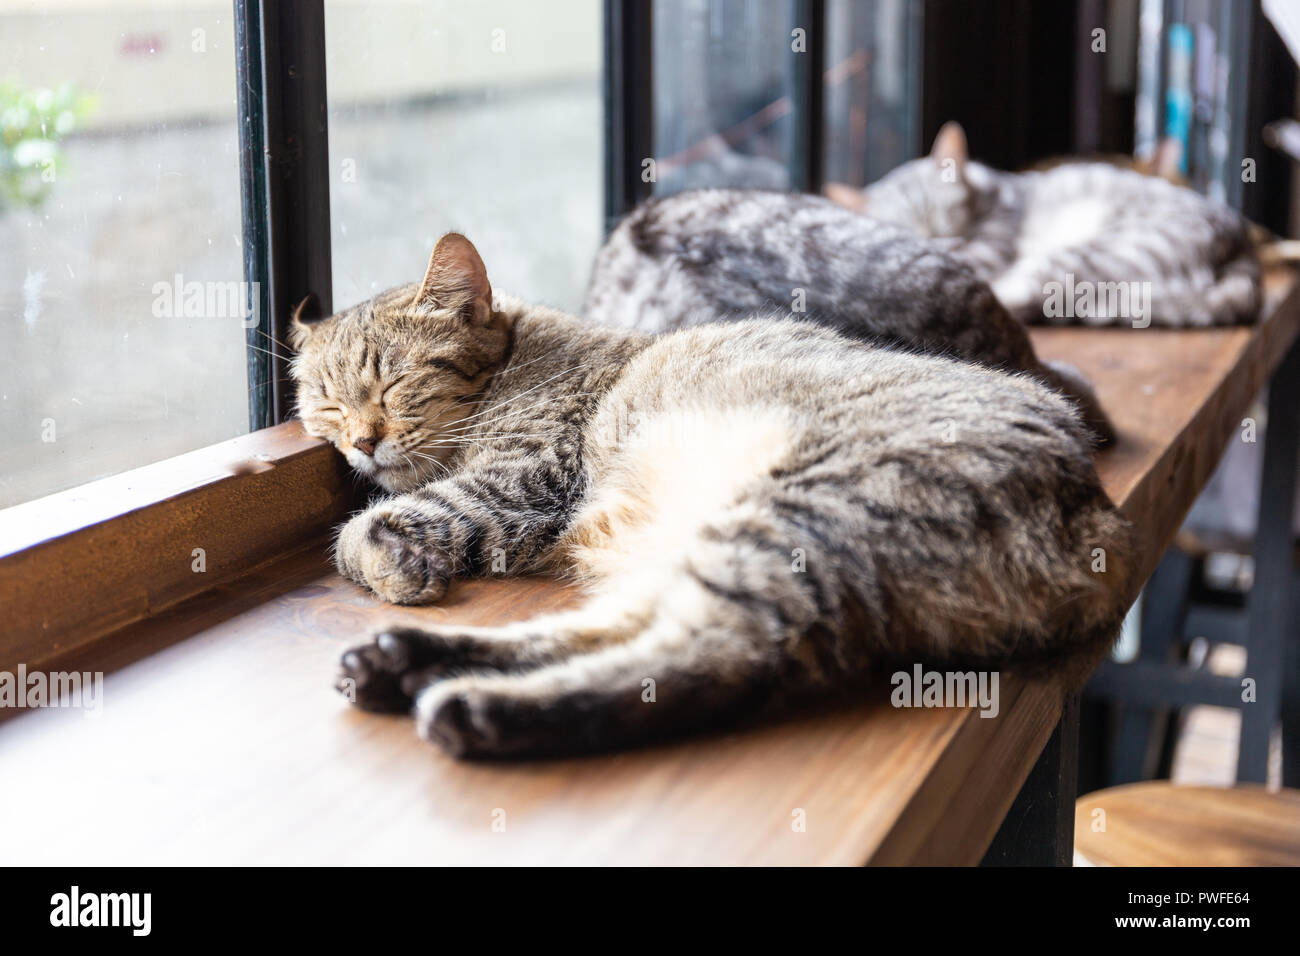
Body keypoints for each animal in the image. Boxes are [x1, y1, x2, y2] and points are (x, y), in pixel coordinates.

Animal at [297, 234, 1138, 764]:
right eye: (326, 405)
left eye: (394, 384)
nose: (361, 443)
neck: (517, 357)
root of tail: (1095, 510)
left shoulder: (527, 474)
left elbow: (367, 533)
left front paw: (386, 555)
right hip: (703, 545)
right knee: (619, 631)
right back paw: (409, 664)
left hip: (797, 524)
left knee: (702, 658)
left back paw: (476, 710)